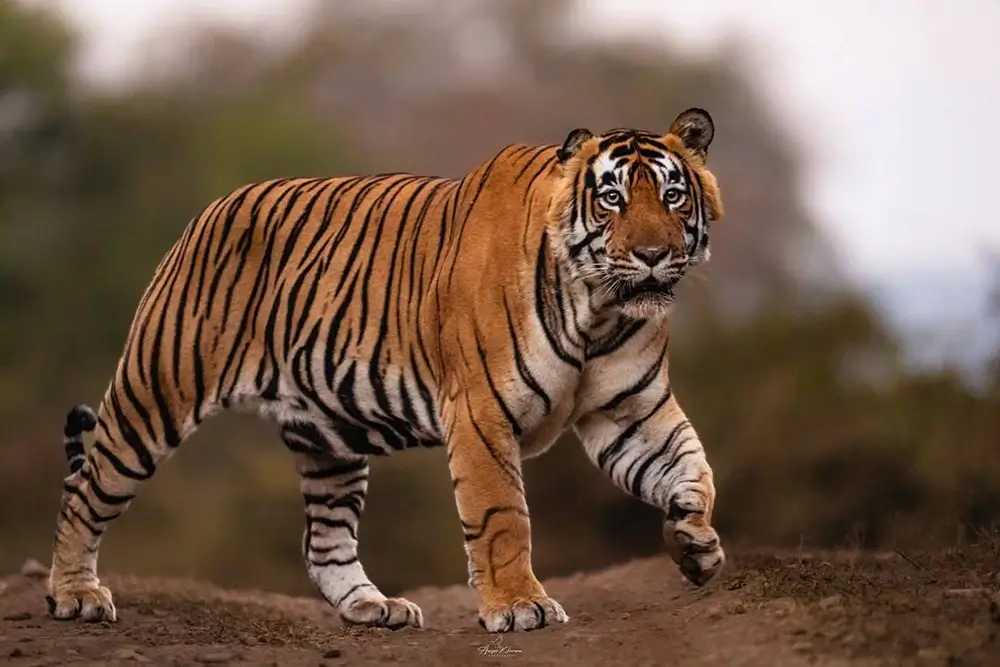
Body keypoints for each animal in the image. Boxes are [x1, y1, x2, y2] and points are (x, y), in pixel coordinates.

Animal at [48, 107, 726, 633]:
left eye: (672, 195)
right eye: (612, 199)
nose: (654, 254)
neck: (599, 311)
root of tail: (212, 207)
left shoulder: (632, 413)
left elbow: (693, 468)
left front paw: (695, 544)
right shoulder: (480, 415)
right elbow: (502, 515)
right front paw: (518, 607)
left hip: (328, 438)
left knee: (323, 541)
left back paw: (373, 607)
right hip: (156, 392)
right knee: (85, 488)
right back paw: (74, 595)